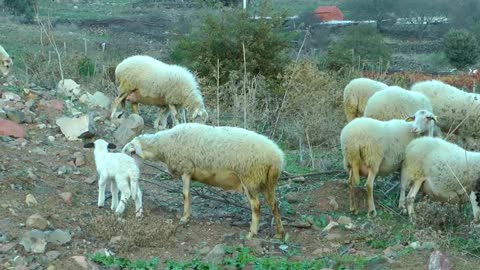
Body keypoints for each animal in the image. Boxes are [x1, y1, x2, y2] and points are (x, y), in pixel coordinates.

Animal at [122, 122, 284, 238]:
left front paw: (185, 218)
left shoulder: (186, 168)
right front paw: (188, 215)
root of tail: (276, 157)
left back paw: (252, 233)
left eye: (130, 152)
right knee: (275, 205)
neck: (164, 145)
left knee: (256, 206)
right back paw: (279, 233)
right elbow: (189, 195)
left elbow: (185, 194)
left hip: (249, 178)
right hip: (267, 182)